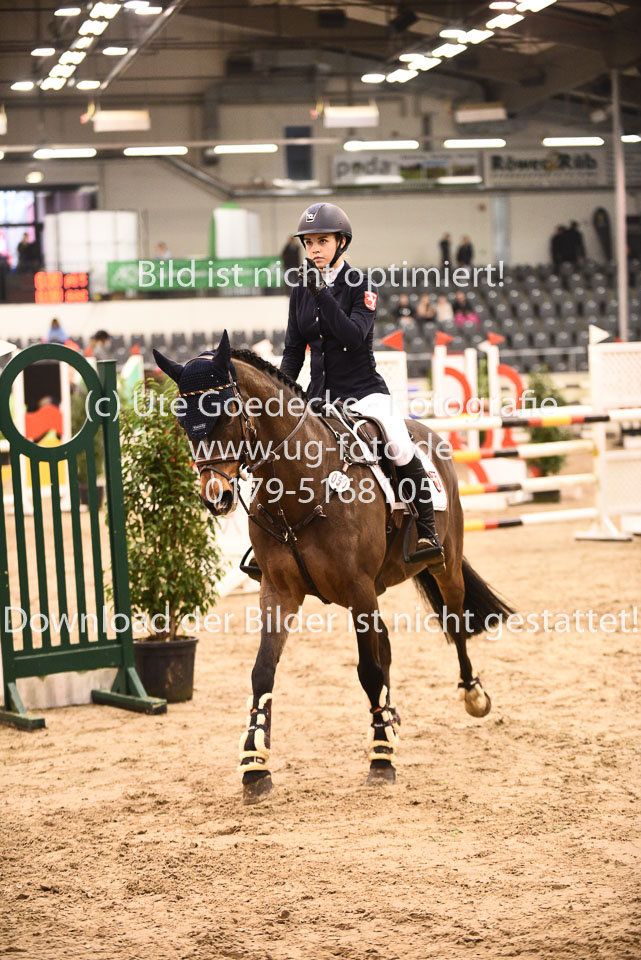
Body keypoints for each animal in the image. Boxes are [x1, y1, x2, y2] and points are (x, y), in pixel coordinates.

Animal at [154, 332, 513, 804]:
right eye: (183, 420)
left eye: (227, 410)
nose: (217, 497)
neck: (300, 484)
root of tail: (428, 432)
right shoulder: (280, 592)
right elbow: (262, 672)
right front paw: (254, 766)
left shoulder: (358, 588)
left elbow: (368, 670)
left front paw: (380, 760)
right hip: (372, 590)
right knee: (386, 643)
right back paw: (389, 719)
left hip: (442, 567)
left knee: (454, 624)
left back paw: (471, 696)